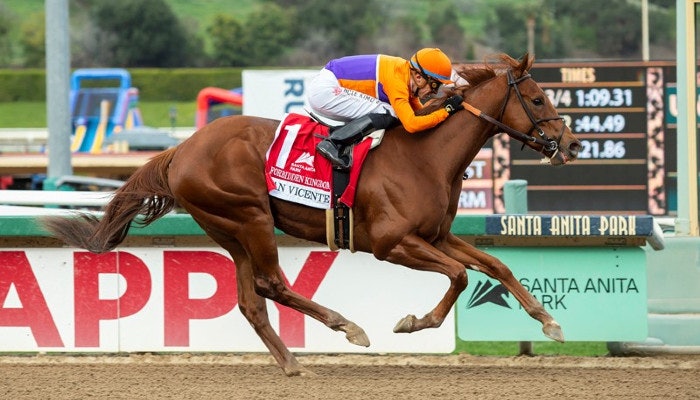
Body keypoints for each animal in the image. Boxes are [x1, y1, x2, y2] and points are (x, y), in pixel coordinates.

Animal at [41, 53, 581, 376]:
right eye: (538, 98)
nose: (573, 145)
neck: (427, 155)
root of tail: (182, 150)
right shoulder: (392, 244)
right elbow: (459, 277)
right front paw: (412, 322)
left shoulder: (437, 235)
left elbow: (495, 265)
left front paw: (550, 322)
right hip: (250, 217)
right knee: (272, 285)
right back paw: (347, 327)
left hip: (230, 230)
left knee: (252, 300)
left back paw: (292, 364)